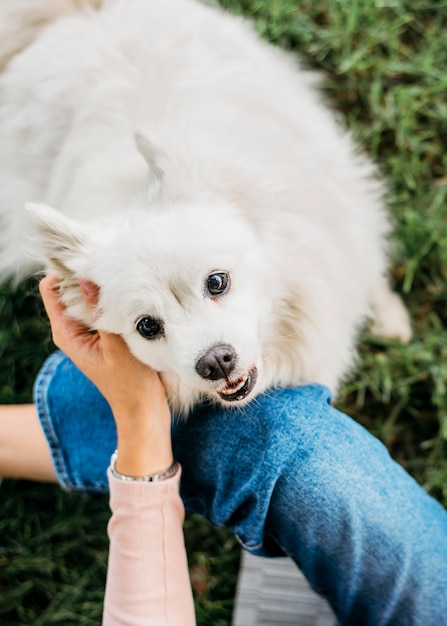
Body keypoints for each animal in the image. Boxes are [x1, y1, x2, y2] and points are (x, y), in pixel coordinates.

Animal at [0, 1, 412, 414]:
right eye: (147, 327)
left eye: (217, 282)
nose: (215, 361)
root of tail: (76, 14)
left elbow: (368, 268)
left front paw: (390, 319)